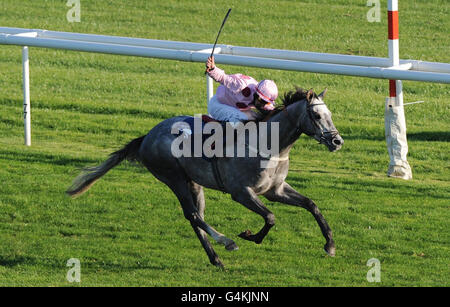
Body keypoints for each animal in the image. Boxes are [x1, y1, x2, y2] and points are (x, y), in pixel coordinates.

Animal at [65, 88, 342, 268]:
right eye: (317, 116)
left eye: (330, 114)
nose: (337, 141)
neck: (269, 145)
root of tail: (146, 137)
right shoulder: (241, 192)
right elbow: (271, 217)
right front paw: (250, 236)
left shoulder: (276, 190)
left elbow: (311, 205)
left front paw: (329, 245)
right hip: (173, 177)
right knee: (193, 215)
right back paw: (227, 242)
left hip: (193, 183)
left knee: (195, 217)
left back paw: (216, 259)